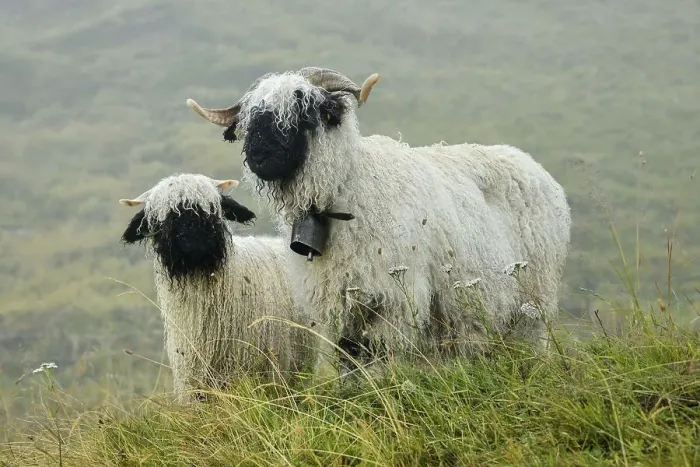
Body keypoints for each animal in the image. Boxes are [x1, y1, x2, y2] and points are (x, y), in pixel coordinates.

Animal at [185, 67, 572, 374]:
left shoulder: (396, 300)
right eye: (249, 120)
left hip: (536, 298)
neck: (348, 190)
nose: (259, 155)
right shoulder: (330, 303)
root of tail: (529, 163)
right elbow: (331, 367)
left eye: (305, 112)